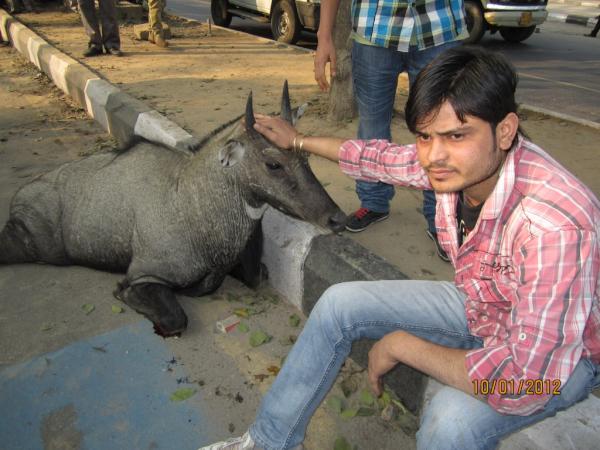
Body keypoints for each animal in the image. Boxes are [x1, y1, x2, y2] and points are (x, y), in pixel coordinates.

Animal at [0, 83, 346, 337]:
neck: (193, 205)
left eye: (305, 157)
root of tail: (20, 194)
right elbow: (174, 318)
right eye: (273, 164)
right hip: (32, 245)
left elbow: (254, 275)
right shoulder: (143, 276)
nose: (337, 218)